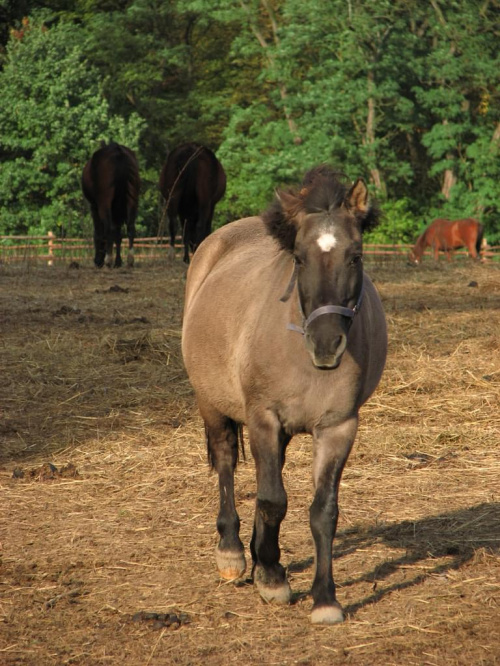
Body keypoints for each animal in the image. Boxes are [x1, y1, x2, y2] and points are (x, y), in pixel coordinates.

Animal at [182, 166, 388, 624]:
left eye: (355, 256)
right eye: (299, 257)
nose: (326, 345)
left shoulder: (338, 427)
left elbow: (322, 511)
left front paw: (324, 599)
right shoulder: (263, 418)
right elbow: (273, 500)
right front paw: (273, 577)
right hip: (213, 405)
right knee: (227, 462)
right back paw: (234, 553)